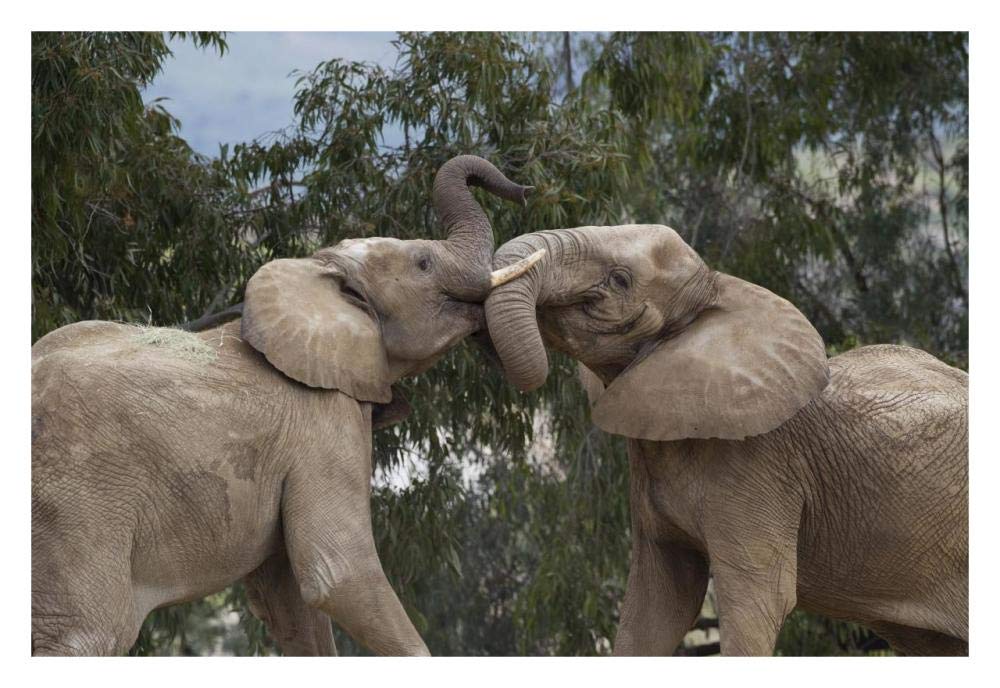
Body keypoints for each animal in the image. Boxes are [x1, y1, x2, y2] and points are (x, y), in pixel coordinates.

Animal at [30, 155, 544, 656]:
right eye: (423, 263)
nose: (525, 190)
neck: (317, 275)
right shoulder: (322, 424)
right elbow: (339, 573)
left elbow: (290, 603)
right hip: (79, 511)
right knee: (89, 633)